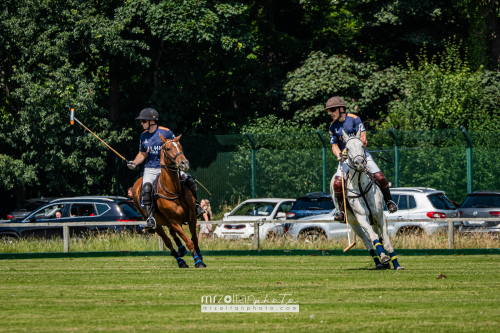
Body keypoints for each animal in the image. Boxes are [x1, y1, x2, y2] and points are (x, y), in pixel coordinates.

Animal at [132, 134, 206, 266]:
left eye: (180, 146)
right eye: (168, 149)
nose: (184, 163)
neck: (174, 190)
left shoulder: (192, 216)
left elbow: (194, 239)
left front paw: (200, 258)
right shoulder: (174, 220)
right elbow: (188, 241)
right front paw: (197, 261)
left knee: (172, 234)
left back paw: (181, 250)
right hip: (156, 223)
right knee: (167, 241)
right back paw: (181, 261)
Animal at [330, 127, 404, 270]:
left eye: (362, 146)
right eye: (347, 148)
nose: (359, 163)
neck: (360, 185)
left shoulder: (379, 216)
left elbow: (386, 241)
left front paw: (396, 264)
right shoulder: (361, 217)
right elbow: (373, 238)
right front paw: (384, 258)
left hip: (374, 219)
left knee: (379, 237)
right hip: (354, 223)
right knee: (368, 242)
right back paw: (379, 262)